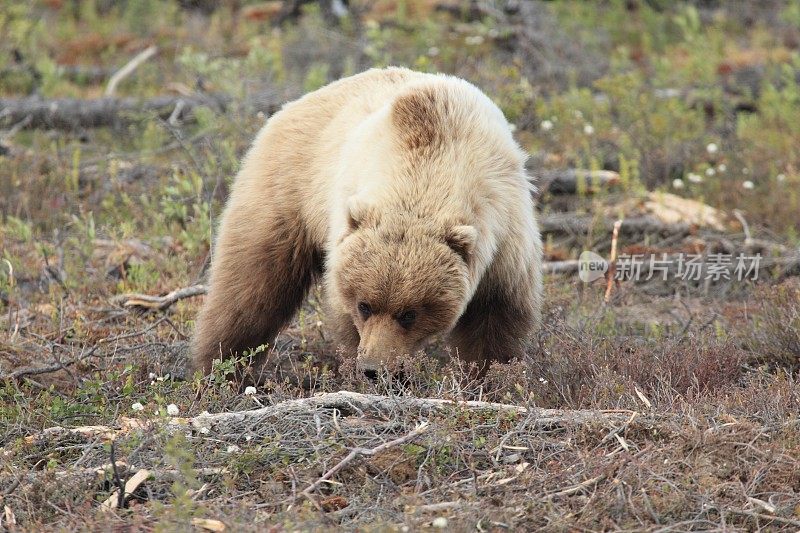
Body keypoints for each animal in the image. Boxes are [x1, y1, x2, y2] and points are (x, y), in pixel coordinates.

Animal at [191, 66, 548, 376]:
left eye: (409, 313)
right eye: (365, 305)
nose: (374, 368)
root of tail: (296, 102)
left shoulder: (505, 241)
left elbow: (494, 324)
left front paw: (488, 377)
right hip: (284, 192)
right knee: (250, 288)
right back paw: (221, 368)